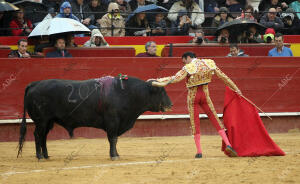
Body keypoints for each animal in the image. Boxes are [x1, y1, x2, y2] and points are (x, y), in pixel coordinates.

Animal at [17, 75, 171, 160]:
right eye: (161, 91)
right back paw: (40, 157)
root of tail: (34, 84)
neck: (126, 92)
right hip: (41, 120)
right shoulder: (112, 121)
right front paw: (114, 156)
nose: (170, 104)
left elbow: (115, 139)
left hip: (49, 121)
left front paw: (116, 154)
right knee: (38, 135)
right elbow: (113, 138)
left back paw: (46, 155)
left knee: (43, 136)